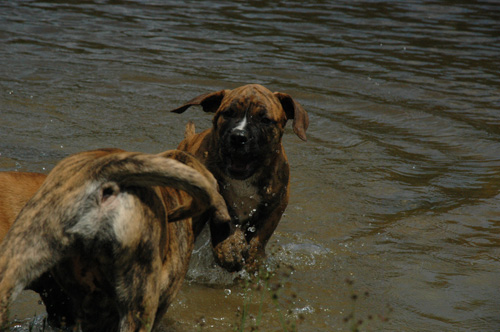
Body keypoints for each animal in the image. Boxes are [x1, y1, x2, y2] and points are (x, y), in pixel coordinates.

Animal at [171, 83, 308, 272]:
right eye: (228, 113)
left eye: (265, 119)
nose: (238, 137)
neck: (243, 181)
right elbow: (223, 216)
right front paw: (230, 248)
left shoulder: (277, 204)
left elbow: (262, 234)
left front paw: (252, 256)